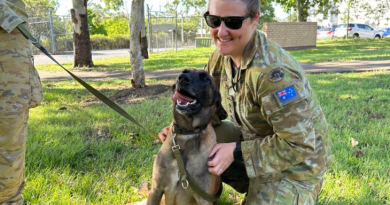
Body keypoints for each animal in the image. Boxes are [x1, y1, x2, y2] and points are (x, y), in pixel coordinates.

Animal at [148, 69, 229, 205]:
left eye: (205, 78)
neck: (187, 132)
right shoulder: (155, 190)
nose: (182, 78)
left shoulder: (204, 199)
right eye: (184, 71)